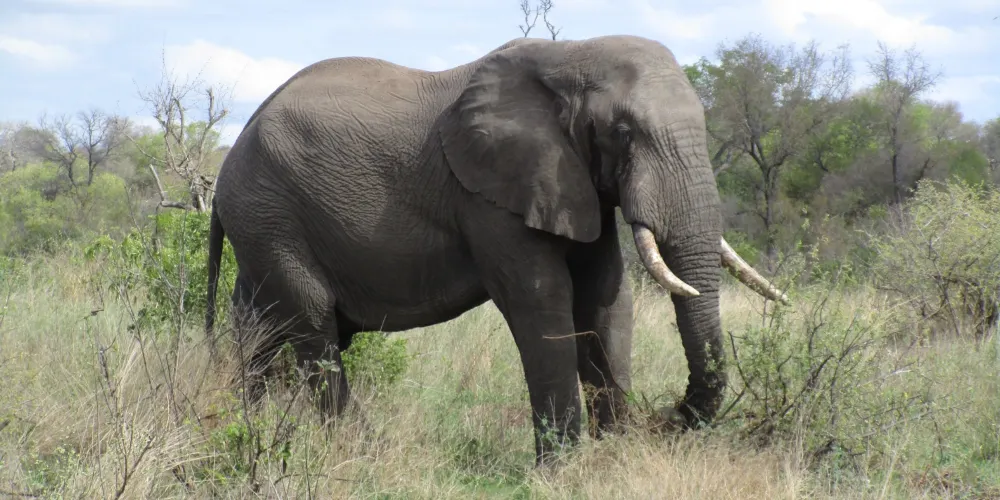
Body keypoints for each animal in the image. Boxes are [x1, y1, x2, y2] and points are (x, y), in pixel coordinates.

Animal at [204, 34, 789, 465]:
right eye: (622, 132)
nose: (665, 417)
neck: (569, 57)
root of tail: (231, 153)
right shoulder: (488, 192)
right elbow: (541, 299)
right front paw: (562, 470)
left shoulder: (573, 181)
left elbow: (606, 298)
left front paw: (613, 458)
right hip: (269, 214)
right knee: (313, 326)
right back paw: (361, 453)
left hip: (261, 224)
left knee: (260, 330)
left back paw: (242, 426)